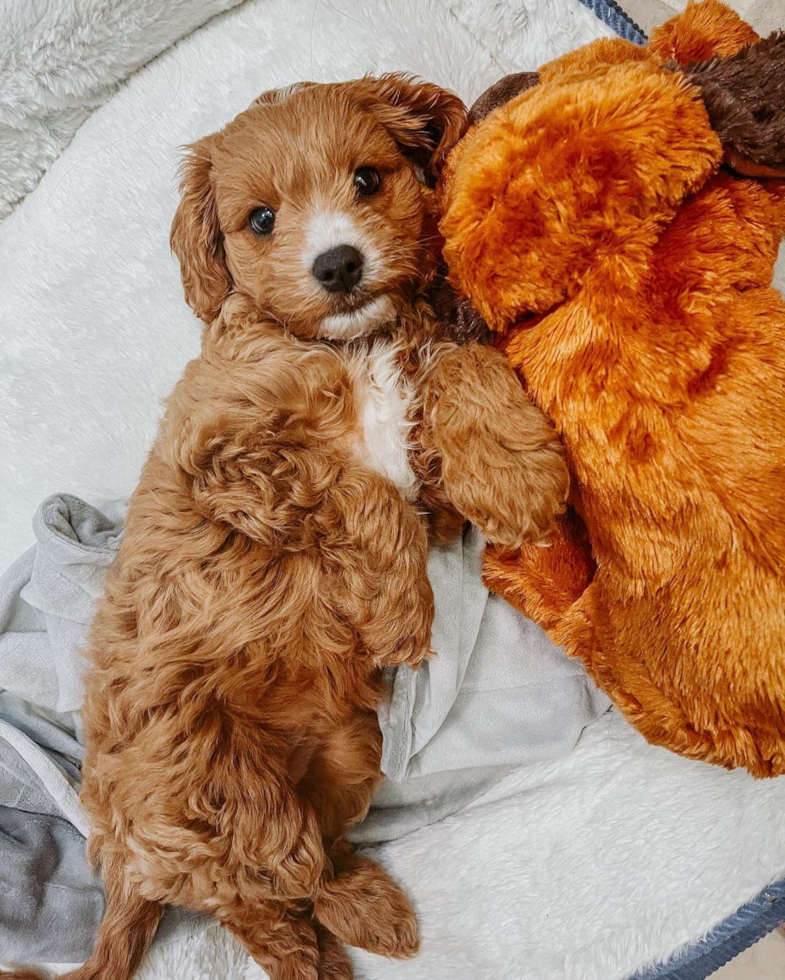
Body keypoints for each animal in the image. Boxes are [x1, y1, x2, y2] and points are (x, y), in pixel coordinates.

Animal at [4, 74, 568, 980]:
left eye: (368, 179)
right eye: (261, 220)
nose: (337, 264)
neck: (346, 345)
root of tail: (123, 859)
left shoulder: (422, 482)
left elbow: (456, 362)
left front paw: (512, 470)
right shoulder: (227, 460)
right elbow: (356, 489)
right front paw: (402, 614)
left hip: (345, 753)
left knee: (307, 865)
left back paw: (368, 912)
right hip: (216, 801)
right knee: (257, 898)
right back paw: (321, 950)